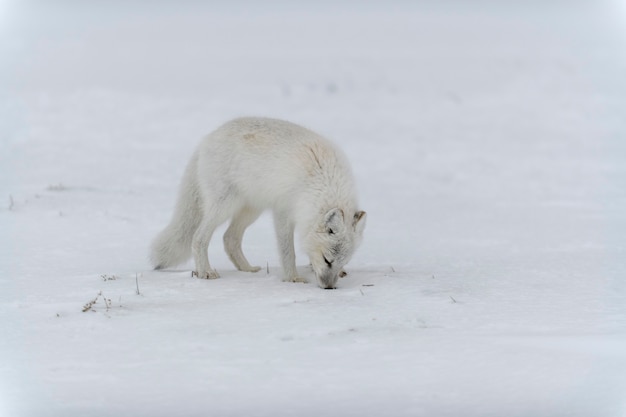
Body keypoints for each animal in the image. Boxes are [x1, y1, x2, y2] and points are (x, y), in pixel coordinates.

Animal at [150, 115, 366, 288]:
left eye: (341, 262)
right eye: (327, 260)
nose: (329, 288)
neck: (323, 181)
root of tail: (207, 139)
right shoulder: (283, 212)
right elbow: (288, 252)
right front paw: (292, 278)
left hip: (251, 210)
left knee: (229, 239)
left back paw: (247, 269)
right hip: (224, 206)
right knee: (199, 237)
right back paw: (206, 272)